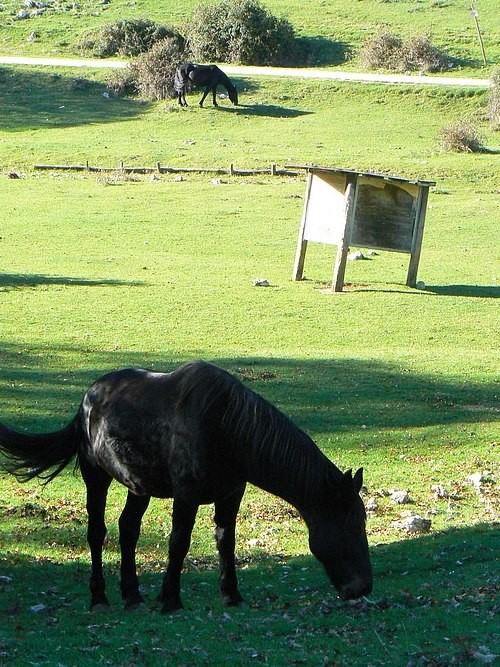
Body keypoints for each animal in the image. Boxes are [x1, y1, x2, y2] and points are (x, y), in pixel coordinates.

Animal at [0, 360, 372, 613]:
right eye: (350, 524)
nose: (364, 587)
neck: (226, 426)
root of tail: (87, 400)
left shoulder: (231, 494)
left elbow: (226, 542)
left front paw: (231, 594)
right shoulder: (187, 495)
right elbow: (178, 543)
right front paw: (170, 600)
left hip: (139, 486)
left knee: (128, 530)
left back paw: (132, 596)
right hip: (97, 477)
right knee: (97, 532)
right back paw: (99, 597)